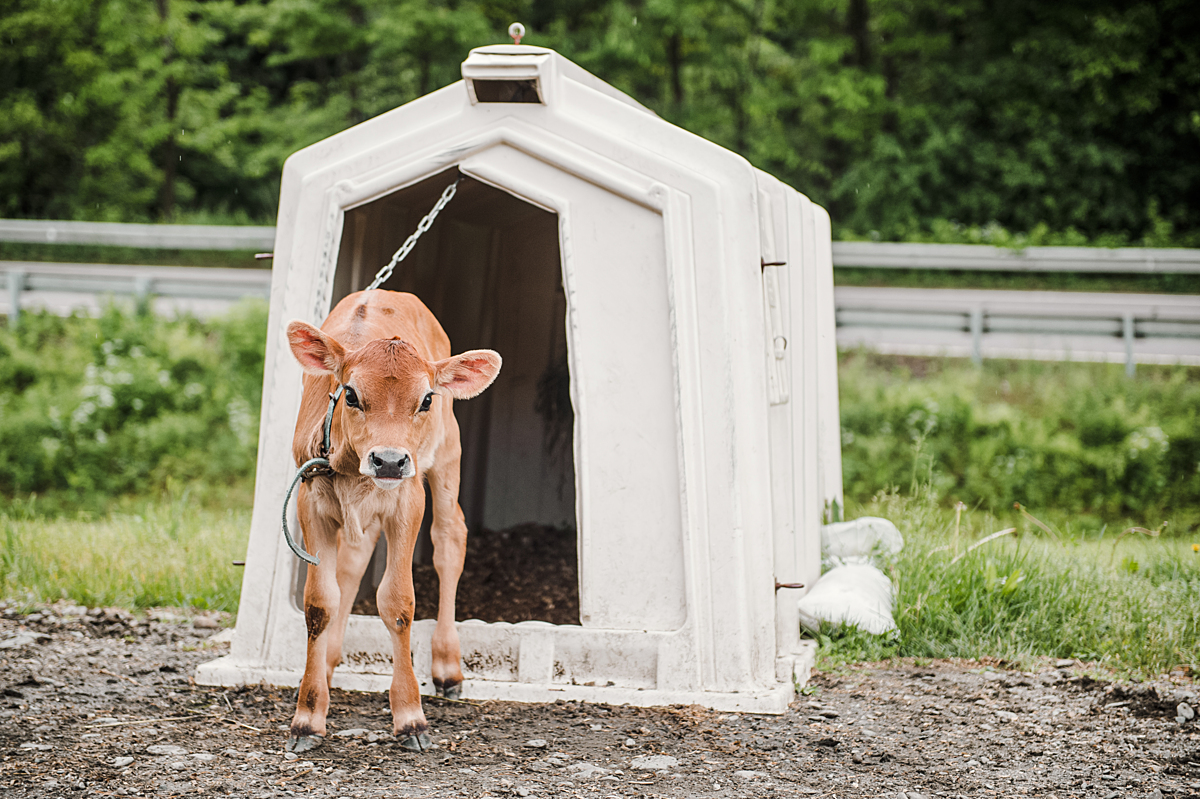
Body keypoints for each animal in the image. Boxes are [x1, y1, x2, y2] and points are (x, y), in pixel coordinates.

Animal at [283, 289, 502, 754]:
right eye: (349, 394)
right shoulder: (311, 500)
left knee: (449, 539)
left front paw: (410, 717)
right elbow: (319, 603)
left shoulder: (408, 500)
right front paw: (308, 716)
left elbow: (398, 602)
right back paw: (329, 664)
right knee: (353, 562)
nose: (388, 460)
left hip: (448, 455)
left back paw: (447, 666)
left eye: (426, 399)